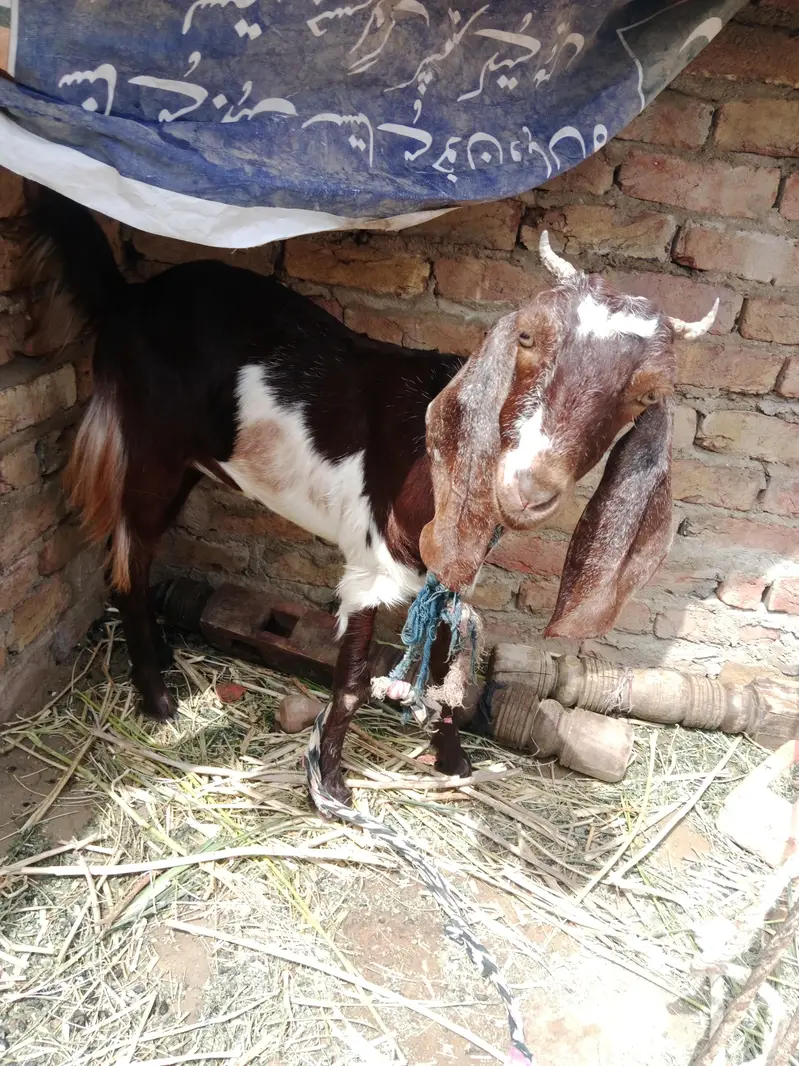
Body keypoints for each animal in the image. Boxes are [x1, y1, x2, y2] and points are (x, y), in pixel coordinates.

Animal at [27, 186, 717, 807]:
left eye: (647, 394)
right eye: (527, 338)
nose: (528, 488)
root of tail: (129, 297)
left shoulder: (448, 576)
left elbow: (444, 673)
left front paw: (453, 763)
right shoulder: (369, 567)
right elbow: (354, 681)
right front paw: (329, 785)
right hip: (151, 448)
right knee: (129, 553)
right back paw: (156, 696)